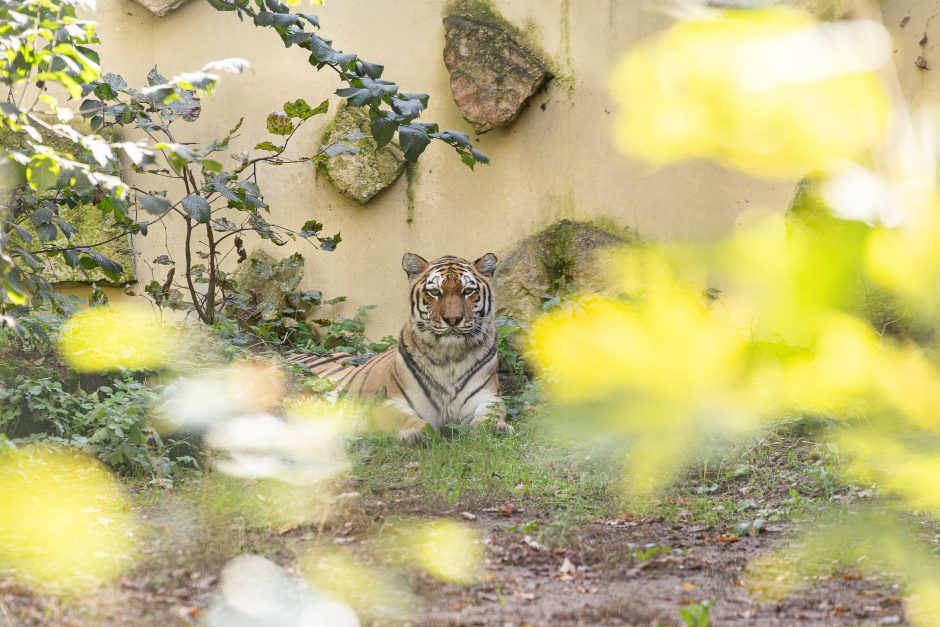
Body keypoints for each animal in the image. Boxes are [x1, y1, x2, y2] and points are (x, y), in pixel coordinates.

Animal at [290, 251, 510, 442]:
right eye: (435, 292)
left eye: (468, 291)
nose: (452, 319)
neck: (449, 357)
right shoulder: (390, 402)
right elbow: (406, 419)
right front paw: (417, 433)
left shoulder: (487, 397)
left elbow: (491, 414)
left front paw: (494, 428)